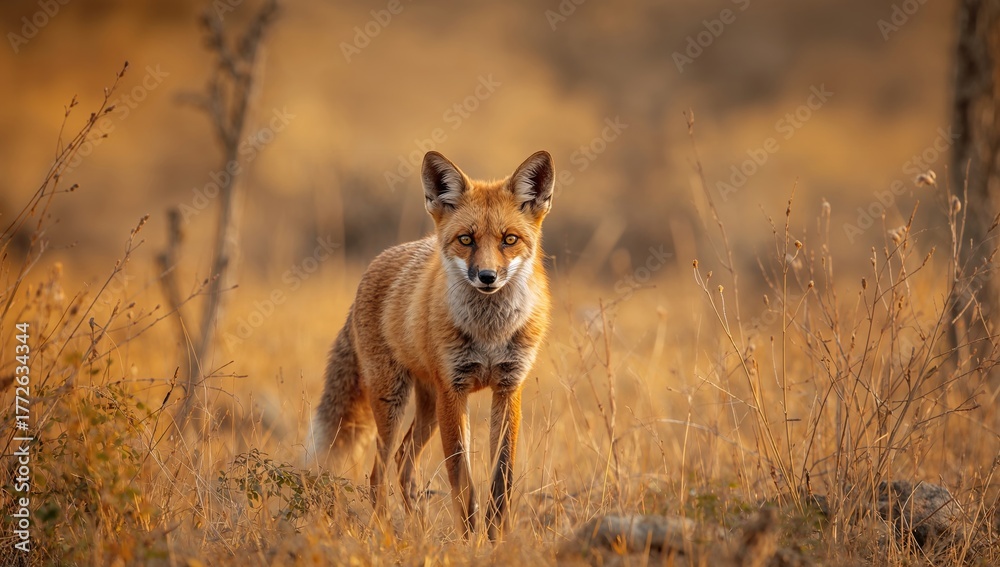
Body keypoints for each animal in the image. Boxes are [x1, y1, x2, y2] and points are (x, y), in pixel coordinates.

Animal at [314, 150, 555, 539]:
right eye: (466, 239)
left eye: (509, 239)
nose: (487, 277)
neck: (489, 333)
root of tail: (379, 261)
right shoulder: (453, 391)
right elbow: (462, 480)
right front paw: (469, 540)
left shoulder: (507, 388)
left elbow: (501, 478)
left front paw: (496, 539)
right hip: (393, 402)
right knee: (378, 472)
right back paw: (388, 533)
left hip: (427, 406)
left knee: (404, 462)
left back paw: (418, 526)